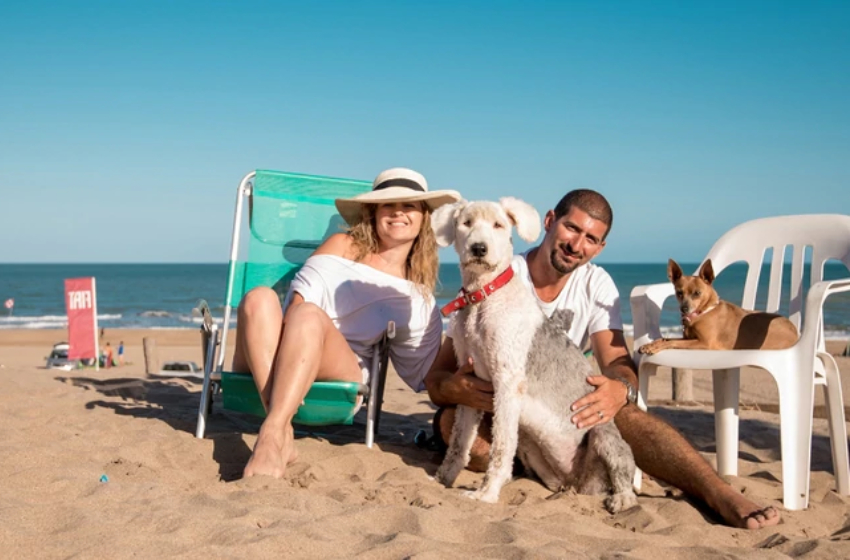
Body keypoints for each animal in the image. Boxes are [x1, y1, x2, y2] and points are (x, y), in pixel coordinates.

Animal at [636, 260, 796, 354]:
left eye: (697, 293)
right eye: (679, 293)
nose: (684, 309)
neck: (702, 313)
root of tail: (796, 332)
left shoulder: (704, 343)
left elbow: (672, 342)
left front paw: (654, 347)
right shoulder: (688, 338)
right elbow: (666, 339)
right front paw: (651, 344)